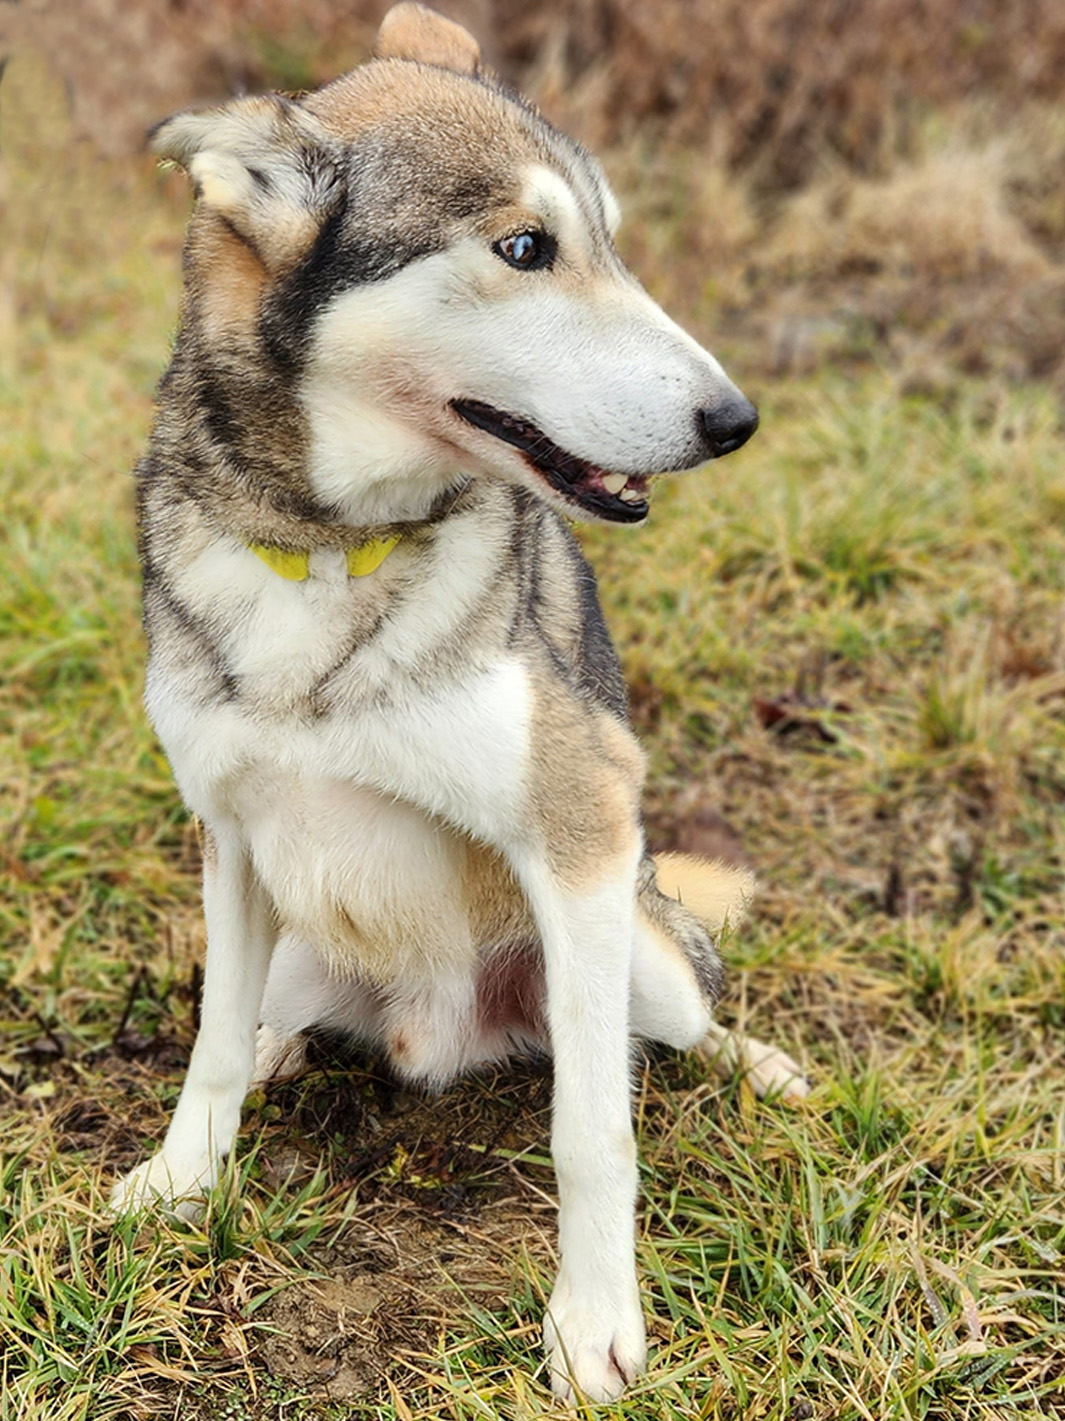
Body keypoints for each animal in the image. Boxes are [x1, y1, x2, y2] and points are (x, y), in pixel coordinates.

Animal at [110, 0, 807, 1398]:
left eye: (608, 241)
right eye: (525, 248)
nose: (734, 418)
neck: (326, 551)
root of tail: (437, 1035)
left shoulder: (581, 827)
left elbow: (594, 1128)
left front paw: (593, 1322)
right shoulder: (228, 829)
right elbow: (206, 1046)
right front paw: (181, 1179)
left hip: (638, 937)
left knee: (680, 1017)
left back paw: (758, 1060)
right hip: (304, 941)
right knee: (261, 1010)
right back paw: (274, 1046)